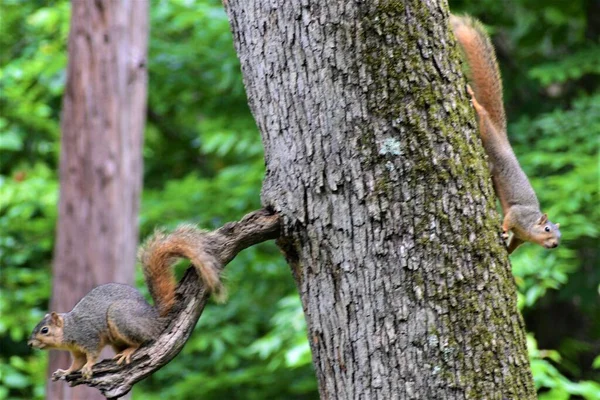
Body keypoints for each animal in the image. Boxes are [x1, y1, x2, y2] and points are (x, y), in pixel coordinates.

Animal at [27, 225, 221, 382]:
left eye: (44, 330)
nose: (30, 344)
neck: (69, 329)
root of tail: (154, 318)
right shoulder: (76, 351)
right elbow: (76, 364)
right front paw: (66, 371)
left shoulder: (89, 337)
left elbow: (91, 356)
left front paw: (88, 367)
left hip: (121, 317)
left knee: (139, 342)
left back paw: (128, 351)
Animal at [450, 14, 564, 253]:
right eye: (547, 229)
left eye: (560, 235)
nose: (554, 244)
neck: (530, 228)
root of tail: (502, 137)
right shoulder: (517, 214)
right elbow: (508, 218)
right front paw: (502, 230)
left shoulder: (520, 237)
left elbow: (513, 245)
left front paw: (507, 251)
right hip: (488, 134)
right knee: (483, 114)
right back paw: (475, 102)